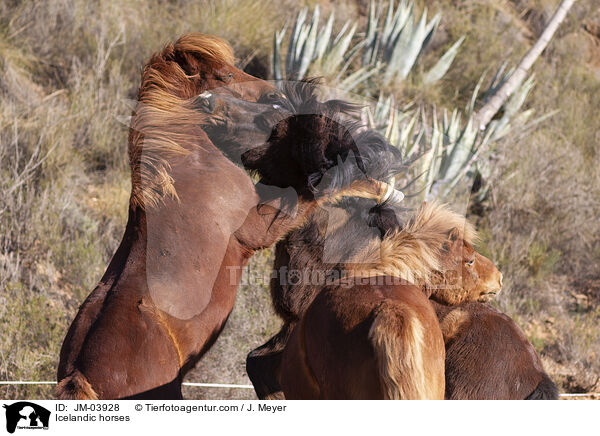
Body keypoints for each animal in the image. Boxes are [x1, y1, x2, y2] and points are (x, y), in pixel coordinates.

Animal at [56, 34, 404, 400]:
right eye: (224, 75)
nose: (273, 93)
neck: (187, 169)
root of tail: (79, 376)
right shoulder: (257, 231)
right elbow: (308, 194)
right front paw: (374, 185)